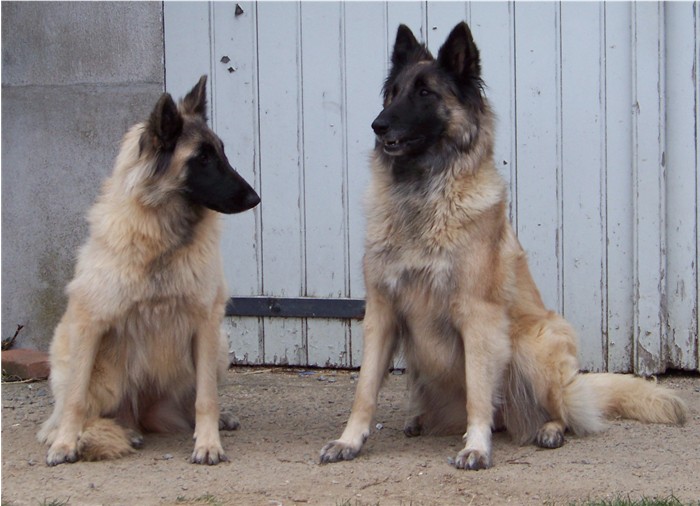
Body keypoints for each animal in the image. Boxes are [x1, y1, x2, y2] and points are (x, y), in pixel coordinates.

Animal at [37, 76, 260, 466]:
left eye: (221, 152)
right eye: (203, 158)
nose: (255, 199)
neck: (161, 235)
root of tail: (141, 414)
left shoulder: (205, 322)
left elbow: (206, 398)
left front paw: (208, 443)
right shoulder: (88, 322)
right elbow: (77, 399)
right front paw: (65, 443)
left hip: (219, 345)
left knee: (191, 401)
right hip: (85, 362)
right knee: (77, 407)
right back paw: (105, 432)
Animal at [320, 21, 688, 468]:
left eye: (425, 93)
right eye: (393, 93)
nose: (378, 125)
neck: (423, 196)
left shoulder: (478, 316)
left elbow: (480, 392)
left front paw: (476, 447)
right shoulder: (382, 312)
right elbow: (365, 389)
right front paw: (350, 441)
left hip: (531, 343)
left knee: (559, 412)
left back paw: (549, 430)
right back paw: (420, 421)